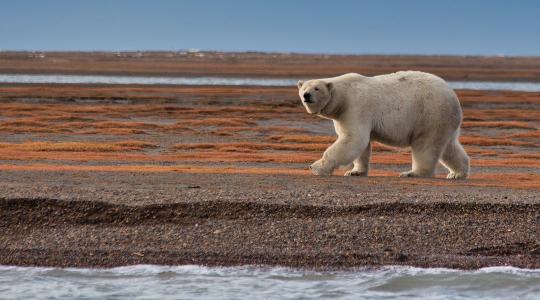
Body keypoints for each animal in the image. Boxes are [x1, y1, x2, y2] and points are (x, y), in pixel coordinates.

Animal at [298, 71, 470, 179]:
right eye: (304, 88)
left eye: (316, 88)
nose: (307, 95)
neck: (342, 97)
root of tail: (453, 96)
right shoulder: (343, 114)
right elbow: (361, 145)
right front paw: (355, 172)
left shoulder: (355, 107)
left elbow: (353, 139)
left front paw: (316, 167)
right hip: (444, 120)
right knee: (449, 147)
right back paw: (457, 173)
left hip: (430, 114)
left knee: (426, 145)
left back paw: (412, 173)